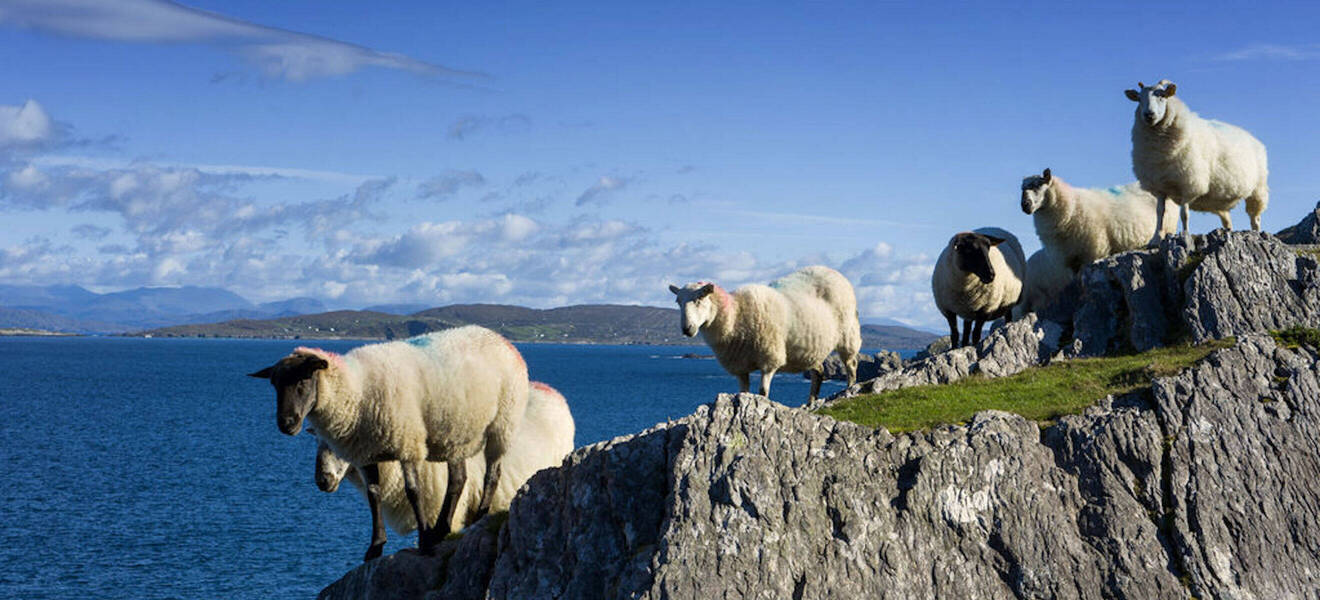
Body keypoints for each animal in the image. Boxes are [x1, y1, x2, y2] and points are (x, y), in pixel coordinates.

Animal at [248, 325, 529, 560]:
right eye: (274, 384)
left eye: (304, 379)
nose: (286, 424)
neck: (357, 390)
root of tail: (502, 339)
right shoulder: (364, 453)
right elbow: (374, 495)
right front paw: (375, 547)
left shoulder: (408, 443)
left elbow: (413, 491)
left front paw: (424, 541)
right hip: (455, 434)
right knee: (458, 480)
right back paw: (442, 529)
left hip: (501, 425)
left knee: (492, 474)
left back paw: (478, 518)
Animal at [668, 265, 861, 401]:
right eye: (678, 302)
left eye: (699, 299)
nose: (686, 329)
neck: (736, 315)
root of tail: (833, 271)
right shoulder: (740, 366)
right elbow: (743, 392)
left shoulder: (769, 359)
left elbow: (762, 392)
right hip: (812, 349)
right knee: (818, 373)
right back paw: (810, 404)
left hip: (848, 334)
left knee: (851, 364)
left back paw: (849, 390)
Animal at [1020, 168, 1178, 271]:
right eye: (1022, 189)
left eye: (1037, 186)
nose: (1024, 205)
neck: (1072, 207)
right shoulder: (1071, 261)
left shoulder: (1092, 253)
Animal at [1126, 79, 1269, 243]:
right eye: (1139, 99)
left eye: (1162, 96)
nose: (1148, 115)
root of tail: (1253, 138)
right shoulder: (1159, 186)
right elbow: (1160, 213)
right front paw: (1156, 238)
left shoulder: (1189, 183)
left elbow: (1184, 214)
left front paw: (1185, 235)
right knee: (1228, 222)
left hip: (1258, 189)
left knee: (1255, 218)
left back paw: (1257, 234)